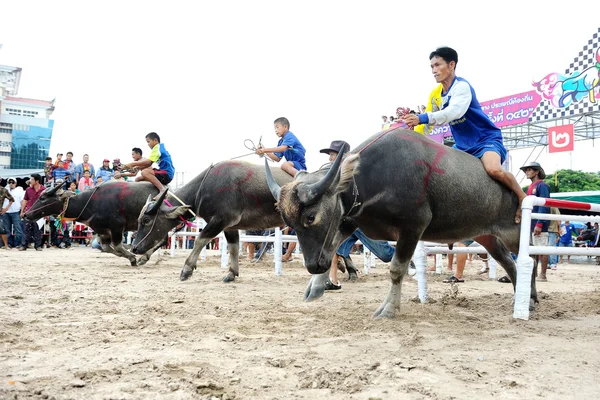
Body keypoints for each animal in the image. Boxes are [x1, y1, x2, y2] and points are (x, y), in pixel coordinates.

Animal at [24, 181, 162, 266]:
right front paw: (127, 255)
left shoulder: (117, 227)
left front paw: (132, 258)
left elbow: (117, 246)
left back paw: (145, 257)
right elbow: (107, 248)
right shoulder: (103, 232)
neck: (91, 204)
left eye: (42, 198)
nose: (26, 214)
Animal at [134, 159, 298, 282]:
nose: (135, 248)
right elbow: (233, 247)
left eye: (147, 220)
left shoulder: (221, 220)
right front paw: (231, 273)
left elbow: (200, 239)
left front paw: (187, 269)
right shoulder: (230, 227)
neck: (204, 187)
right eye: (139, 220)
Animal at [264, 129, 532, 318]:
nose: (312, 266)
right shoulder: (348, 222)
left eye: (311, 217)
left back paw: (526, 300)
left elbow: (395, 269)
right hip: (487, 237)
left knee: (524, 260)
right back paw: (528, 298)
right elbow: (331, 250)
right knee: (508, 262)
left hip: (514, 234)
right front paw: (316, 287)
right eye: (287, 221)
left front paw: (389, 309)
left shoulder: (412, 227)